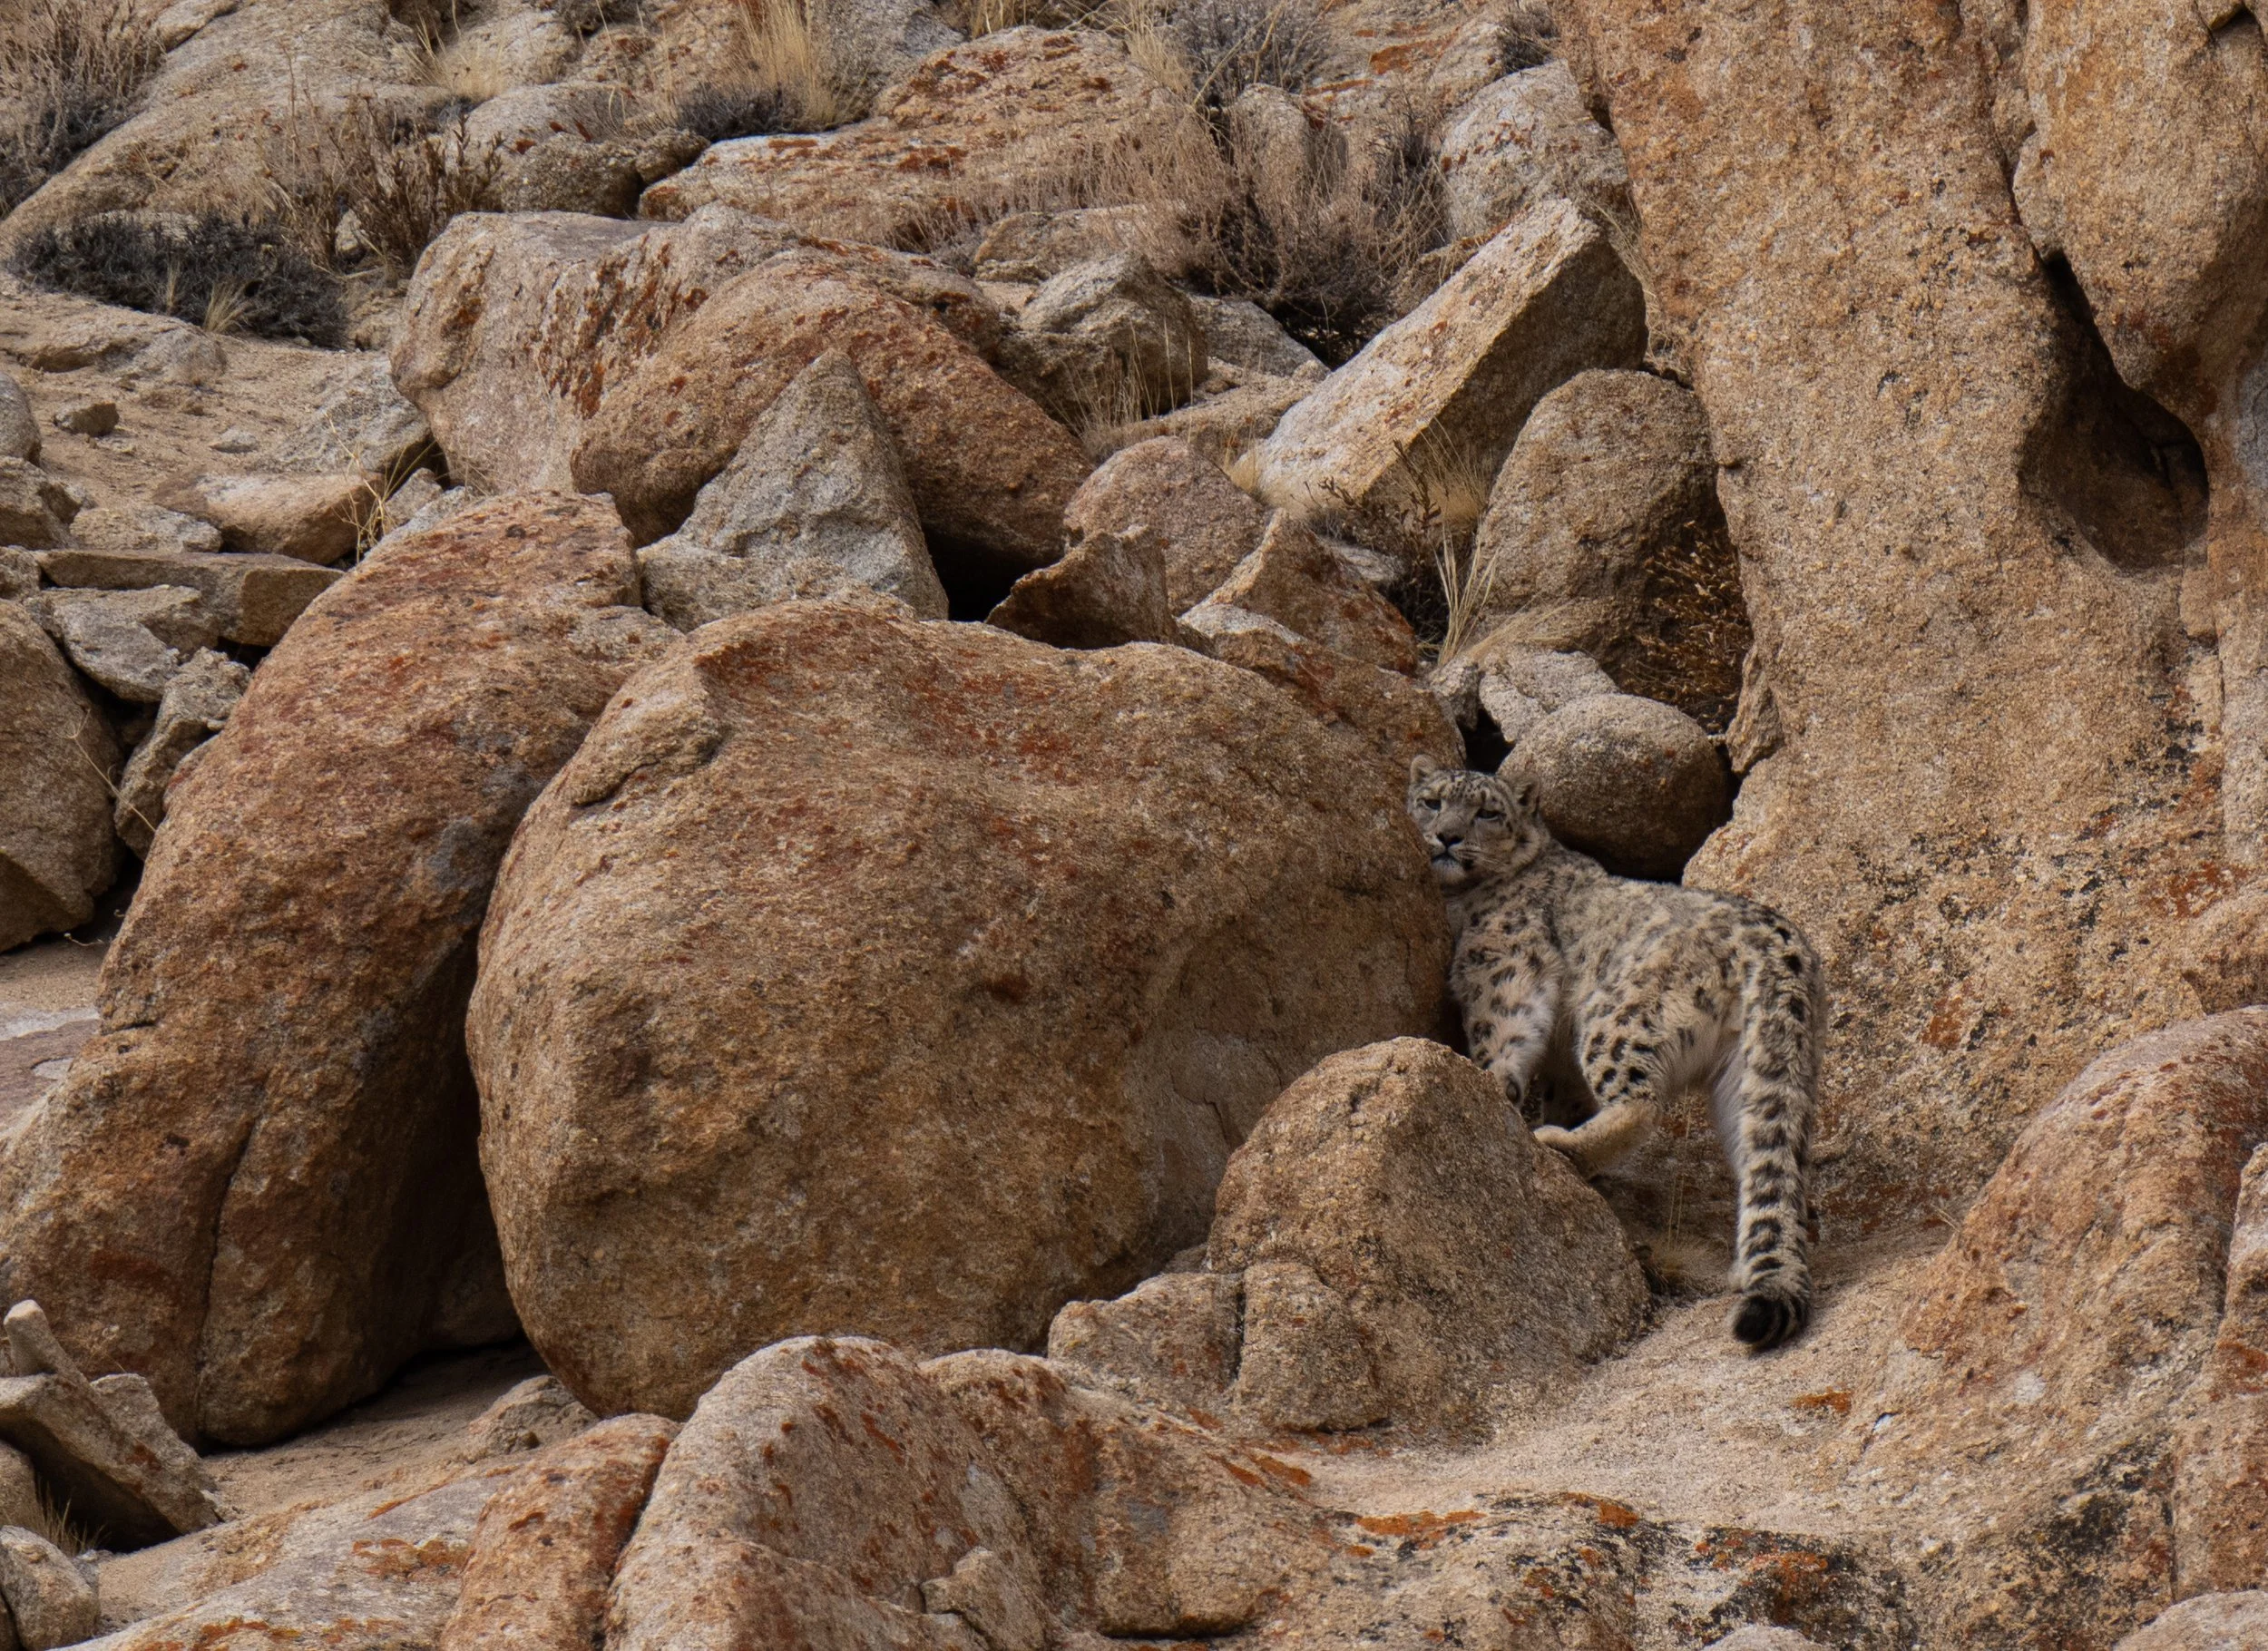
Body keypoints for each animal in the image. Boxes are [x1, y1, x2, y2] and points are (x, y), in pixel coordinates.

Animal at [1406, 756, 1827, 1350]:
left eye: (1488, 812)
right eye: (1432, 802)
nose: (1447, 837)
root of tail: (1779, 948)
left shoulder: (1500, 964)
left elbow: (1502, 1034)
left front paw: (1489, 1084)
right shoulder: (1561, 1065)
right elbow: (1565, 1090)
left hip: (1617, 1016)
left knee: (1640, 1103)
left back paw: (1561, 1145)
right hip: (1753, 1069)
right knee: (1765, 1160)